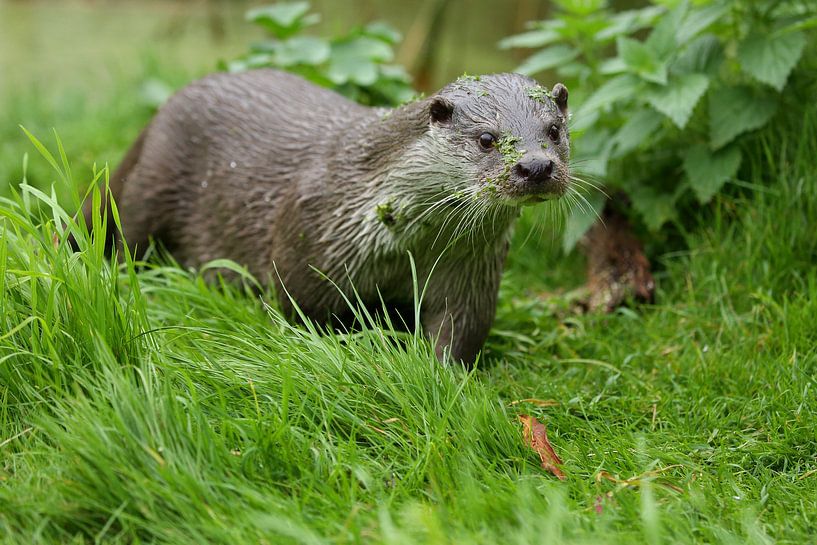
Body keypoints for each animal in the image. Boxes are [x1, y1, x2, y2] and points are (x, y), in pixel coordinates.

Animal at [87, 69, 571, 364]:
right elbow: (300, 314)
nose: (535, 166)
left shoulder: (471, 273)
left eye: (554, 131)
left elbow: (459, 332)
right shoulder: (305, 249)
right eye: (487, 138)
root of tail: (157, 116)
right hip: (148, 187)